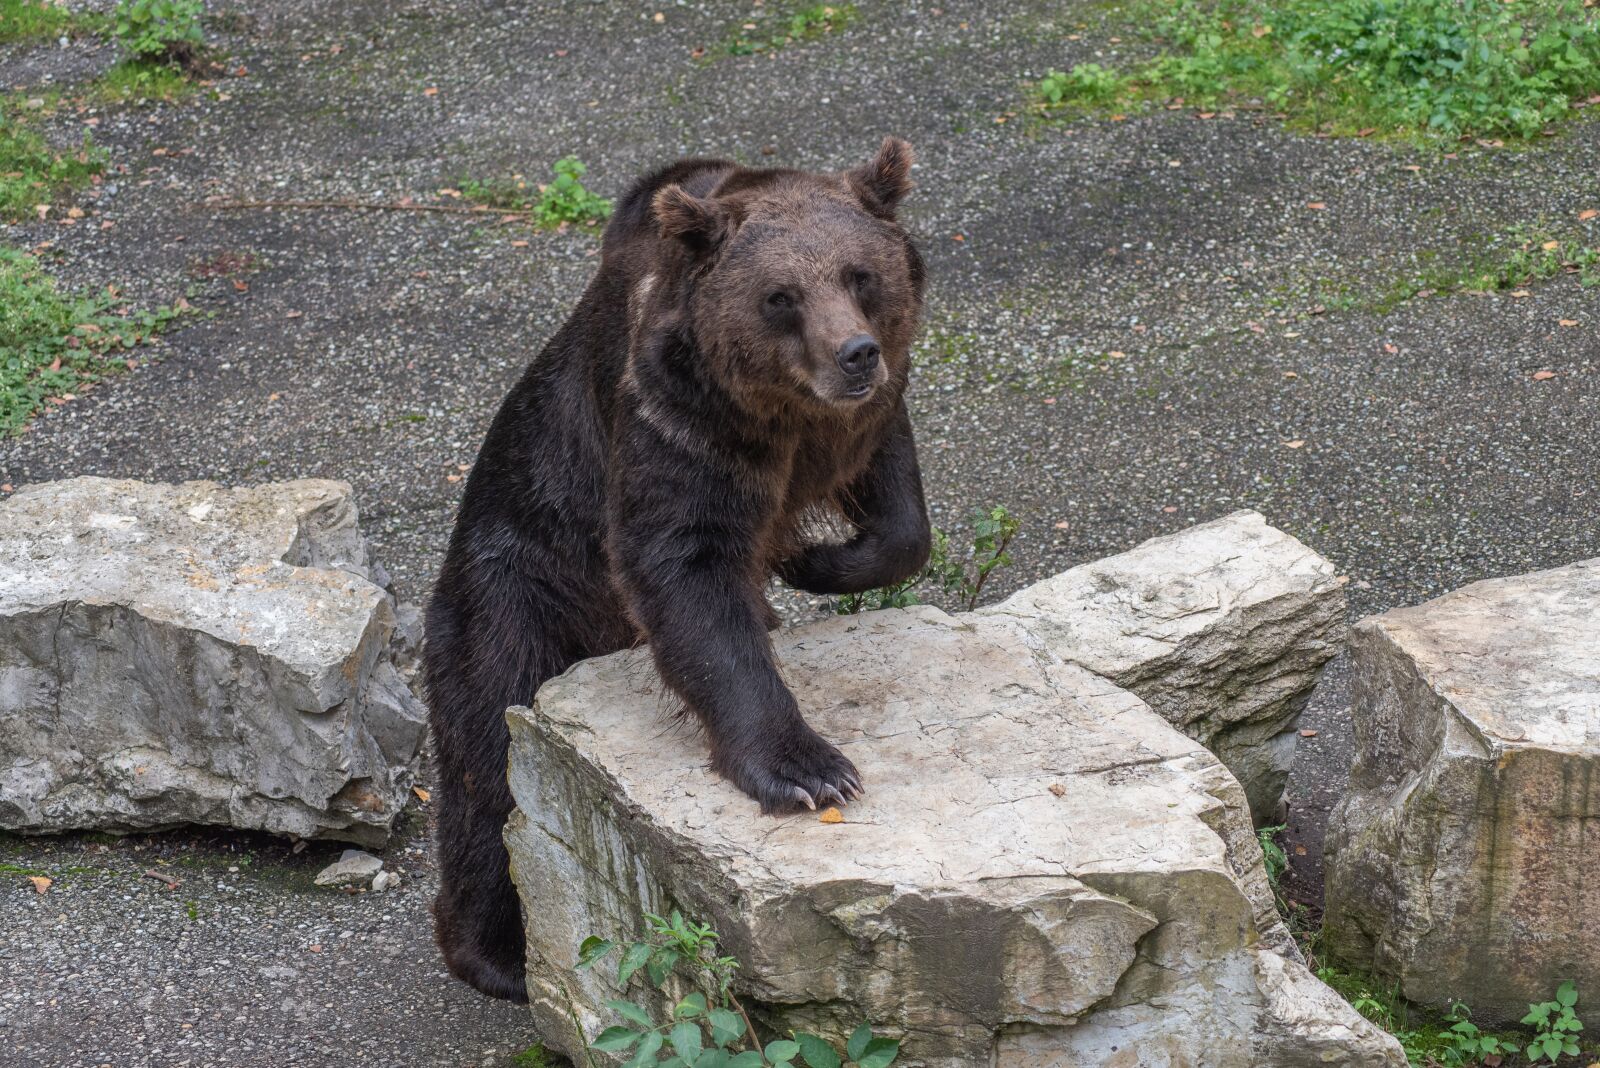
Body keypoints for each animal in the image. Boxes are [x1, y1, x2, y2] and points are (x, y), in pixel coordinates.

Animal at [423, 137, 932, 1003]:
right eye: (780, 295)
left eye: (861, 274)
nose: (853, 353)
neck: (780, 414)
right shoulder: (674, 421)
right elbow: (687, 576)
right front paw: (808, 770)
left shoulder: (861, 418)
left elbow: (896, 507)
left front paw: (814, 559)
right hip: (515, 591)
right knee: (490, 760)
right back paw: (499, 956)